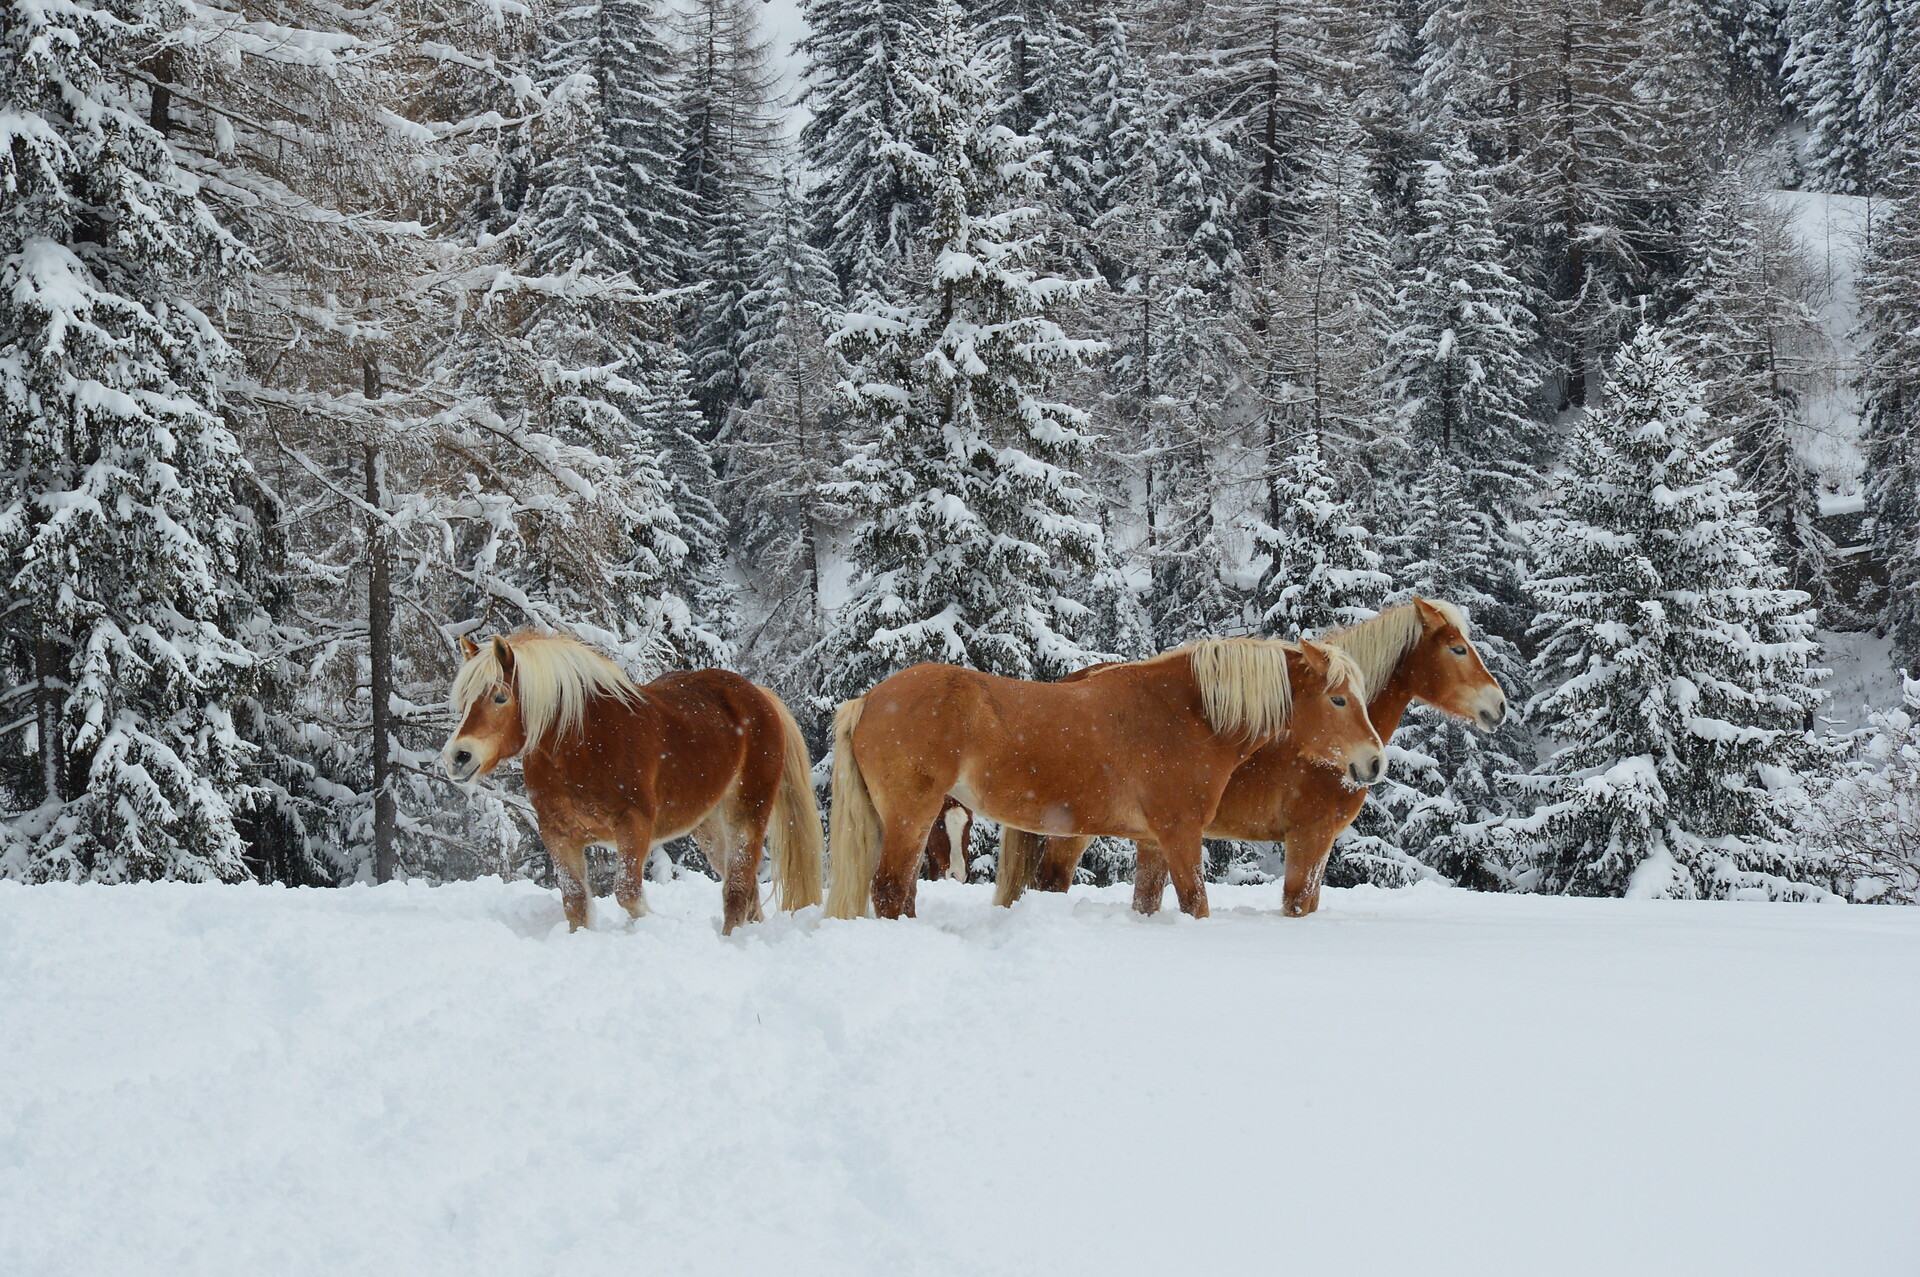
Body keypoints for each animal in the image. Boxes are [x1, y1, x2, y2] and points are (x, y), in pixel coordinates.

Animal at [442, 632, 825, 934]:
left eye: (500, 696)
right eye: (465, 700)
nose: (458, 756)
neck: (583, 744)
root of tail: (758, 695)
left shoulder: (634, 826)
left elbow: (628, 894)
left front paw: (657, 925)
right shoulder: (558, 834)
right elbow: (575, 901)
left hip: (747, 813)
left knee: (738, 888)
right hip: (709, 827)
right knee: (745, 886)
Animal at [823, 637, 1383, 921]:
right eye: (1338, 699)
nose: (1374, 763)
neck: (1185, 713)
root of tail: (868, 700)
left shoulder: (1154, 841)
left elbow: (1151, 903)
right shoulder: (1181, 834)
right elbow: (1197, 903)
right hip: (913, 815)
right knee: (890, 889)